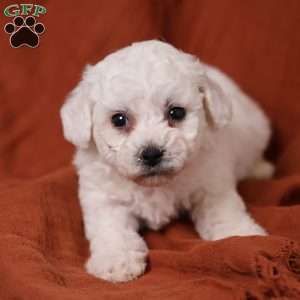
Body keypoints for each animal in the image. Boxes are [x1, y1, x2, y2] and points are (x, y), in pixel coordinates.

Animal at [59, 39, 274, 282]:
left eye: (176, 113)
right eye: (119, 119)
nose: (151, 153)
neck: (155, 185)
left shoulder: (212, 185)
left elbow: (223, 211)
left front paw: (241, 235)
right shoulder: (103, 198)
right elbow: (111, 229)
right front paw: (117, 260)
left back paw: (261, 169)